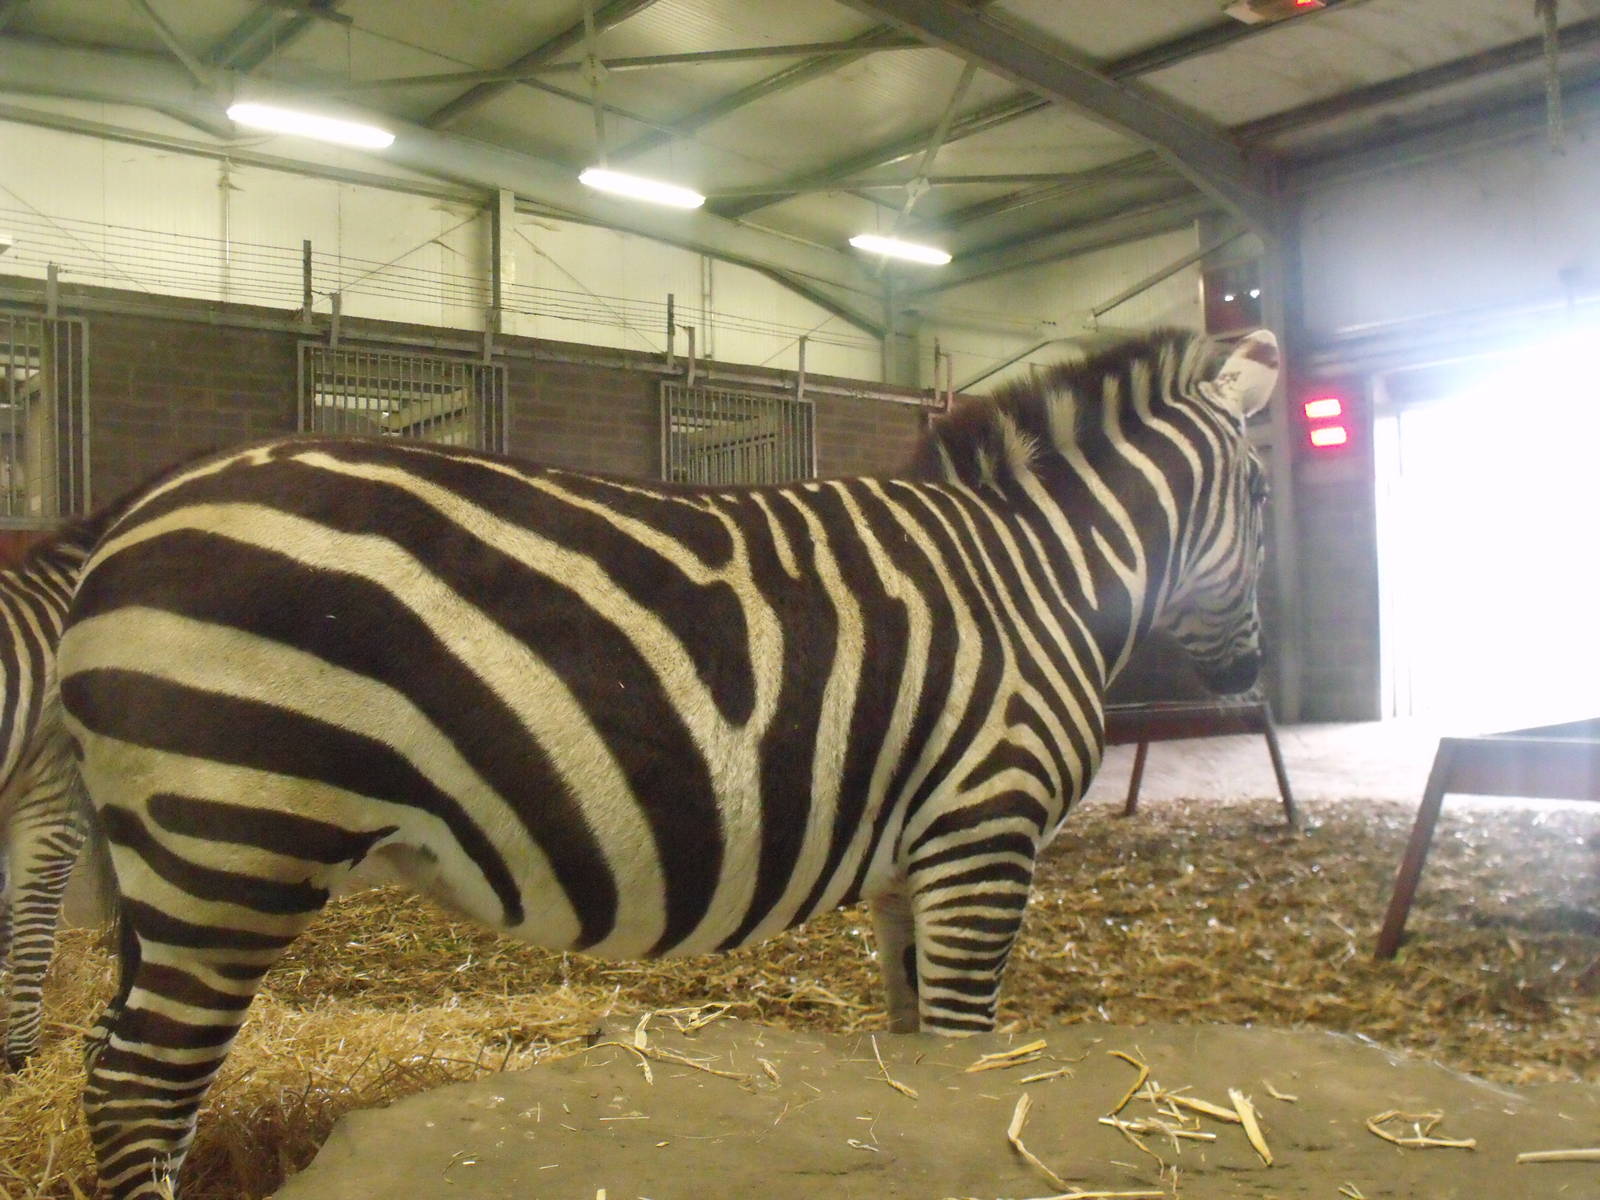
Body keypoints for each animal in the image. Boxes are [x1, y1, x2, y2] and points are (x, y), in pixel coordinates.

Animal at [53, 326, 1278, 1199]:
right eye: (1265, 496)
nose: (1252, 670)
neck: (1040, 564)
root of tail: (129, 512)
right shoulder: (987, 829)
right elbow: (967, 1054)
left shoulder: (917, 860)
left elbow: (917, 1055)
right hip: (235, 844)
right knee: (137, 1087)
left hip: (170, 857)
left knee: (124, 1073)